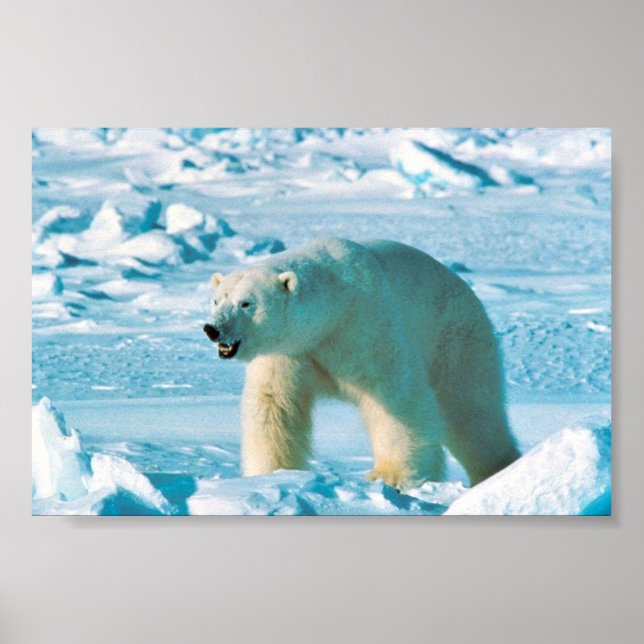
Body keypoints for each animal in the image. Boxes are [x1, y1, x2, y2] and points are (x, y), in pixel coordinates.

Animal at [203, 237, 520, 489]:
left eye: (246, 303)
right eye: (217, 301)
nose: (212, 329)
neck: (332, 311)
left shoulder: (364, 325)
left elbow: (395, 397)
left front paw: (391, 476)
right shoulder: (287, 352)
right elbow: (274, 404)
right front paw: (270, 474)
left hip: (456, 341)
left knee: (472, 411)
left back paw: (498, 471)